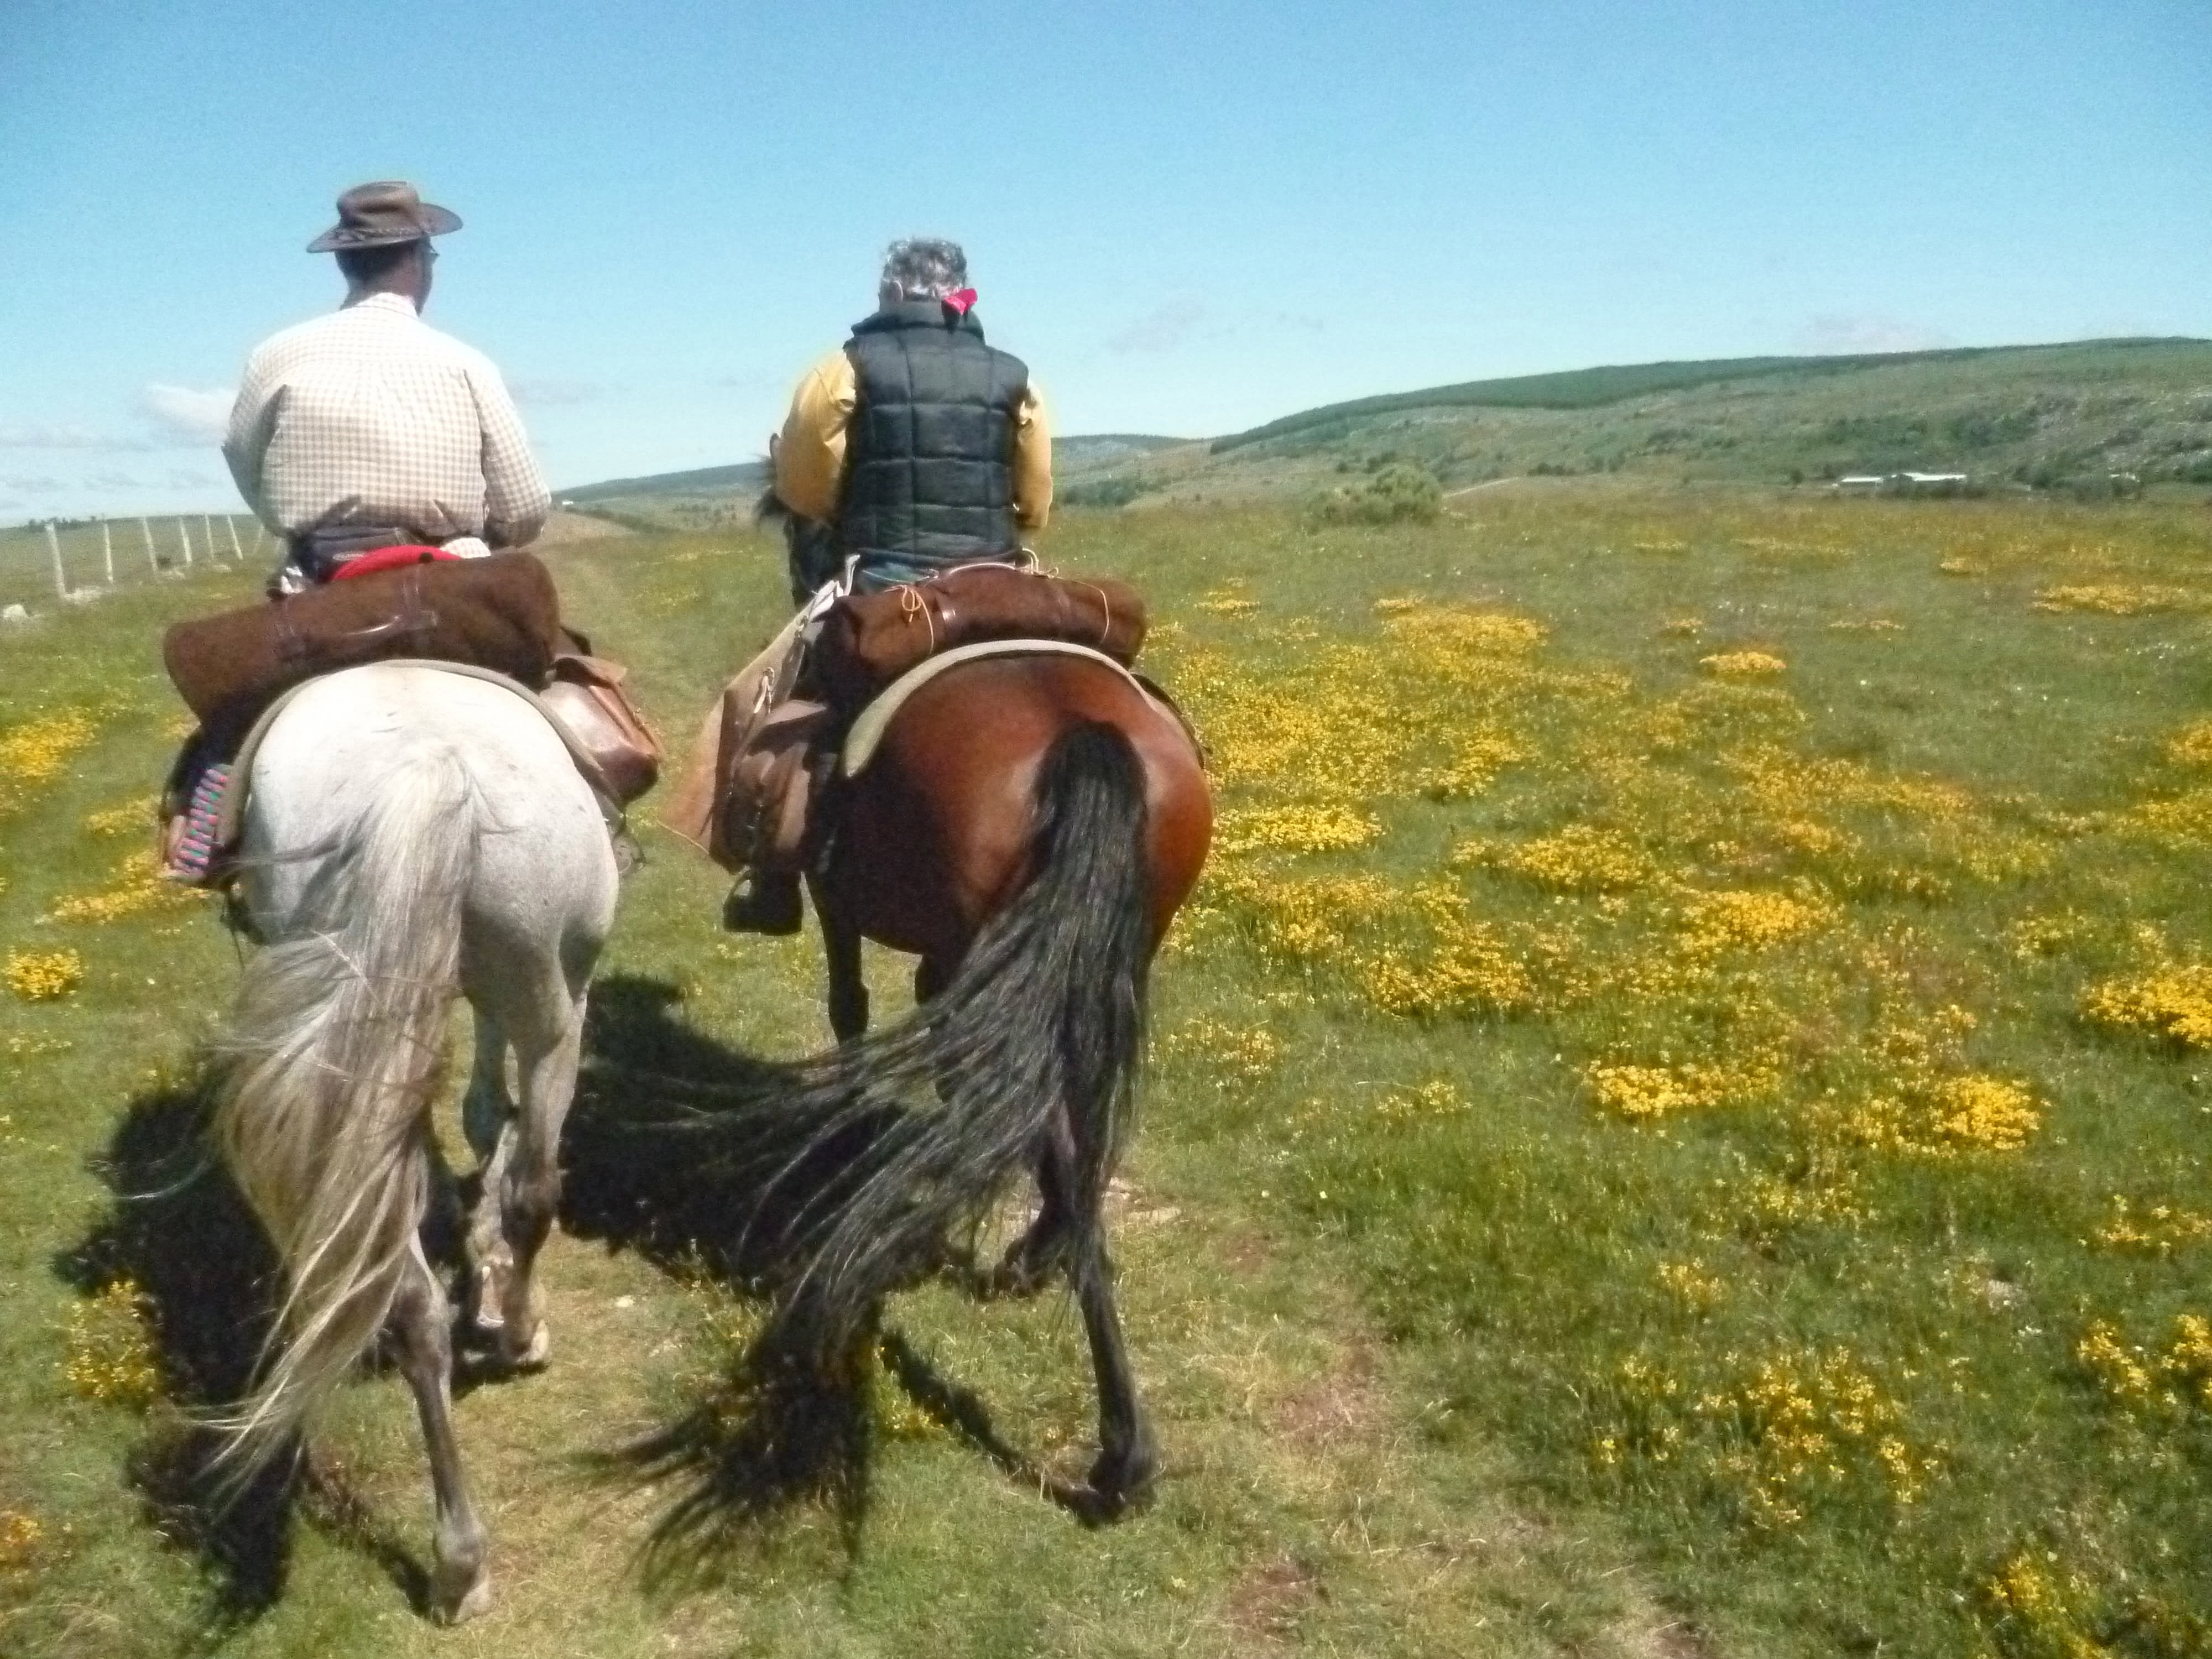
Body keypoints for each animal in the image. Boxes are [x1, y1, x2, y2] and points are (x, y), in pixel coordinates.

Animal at [206, 661, 619, 1623]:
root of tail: (422, 764)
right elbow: (491, 1124)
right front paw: (495, 1275)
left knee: (406, 1296)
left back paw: (458, 1563)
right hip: (554, 1011)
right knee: (533, 1192)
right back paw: (519, 1336)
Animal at [725, 643, 1211, 1522]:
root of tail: (1076, 730)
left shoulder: (840, 901)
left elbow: (848, 1004)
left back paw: (1120, 1455)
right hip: (1108, 952)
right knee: (1077, 1127)